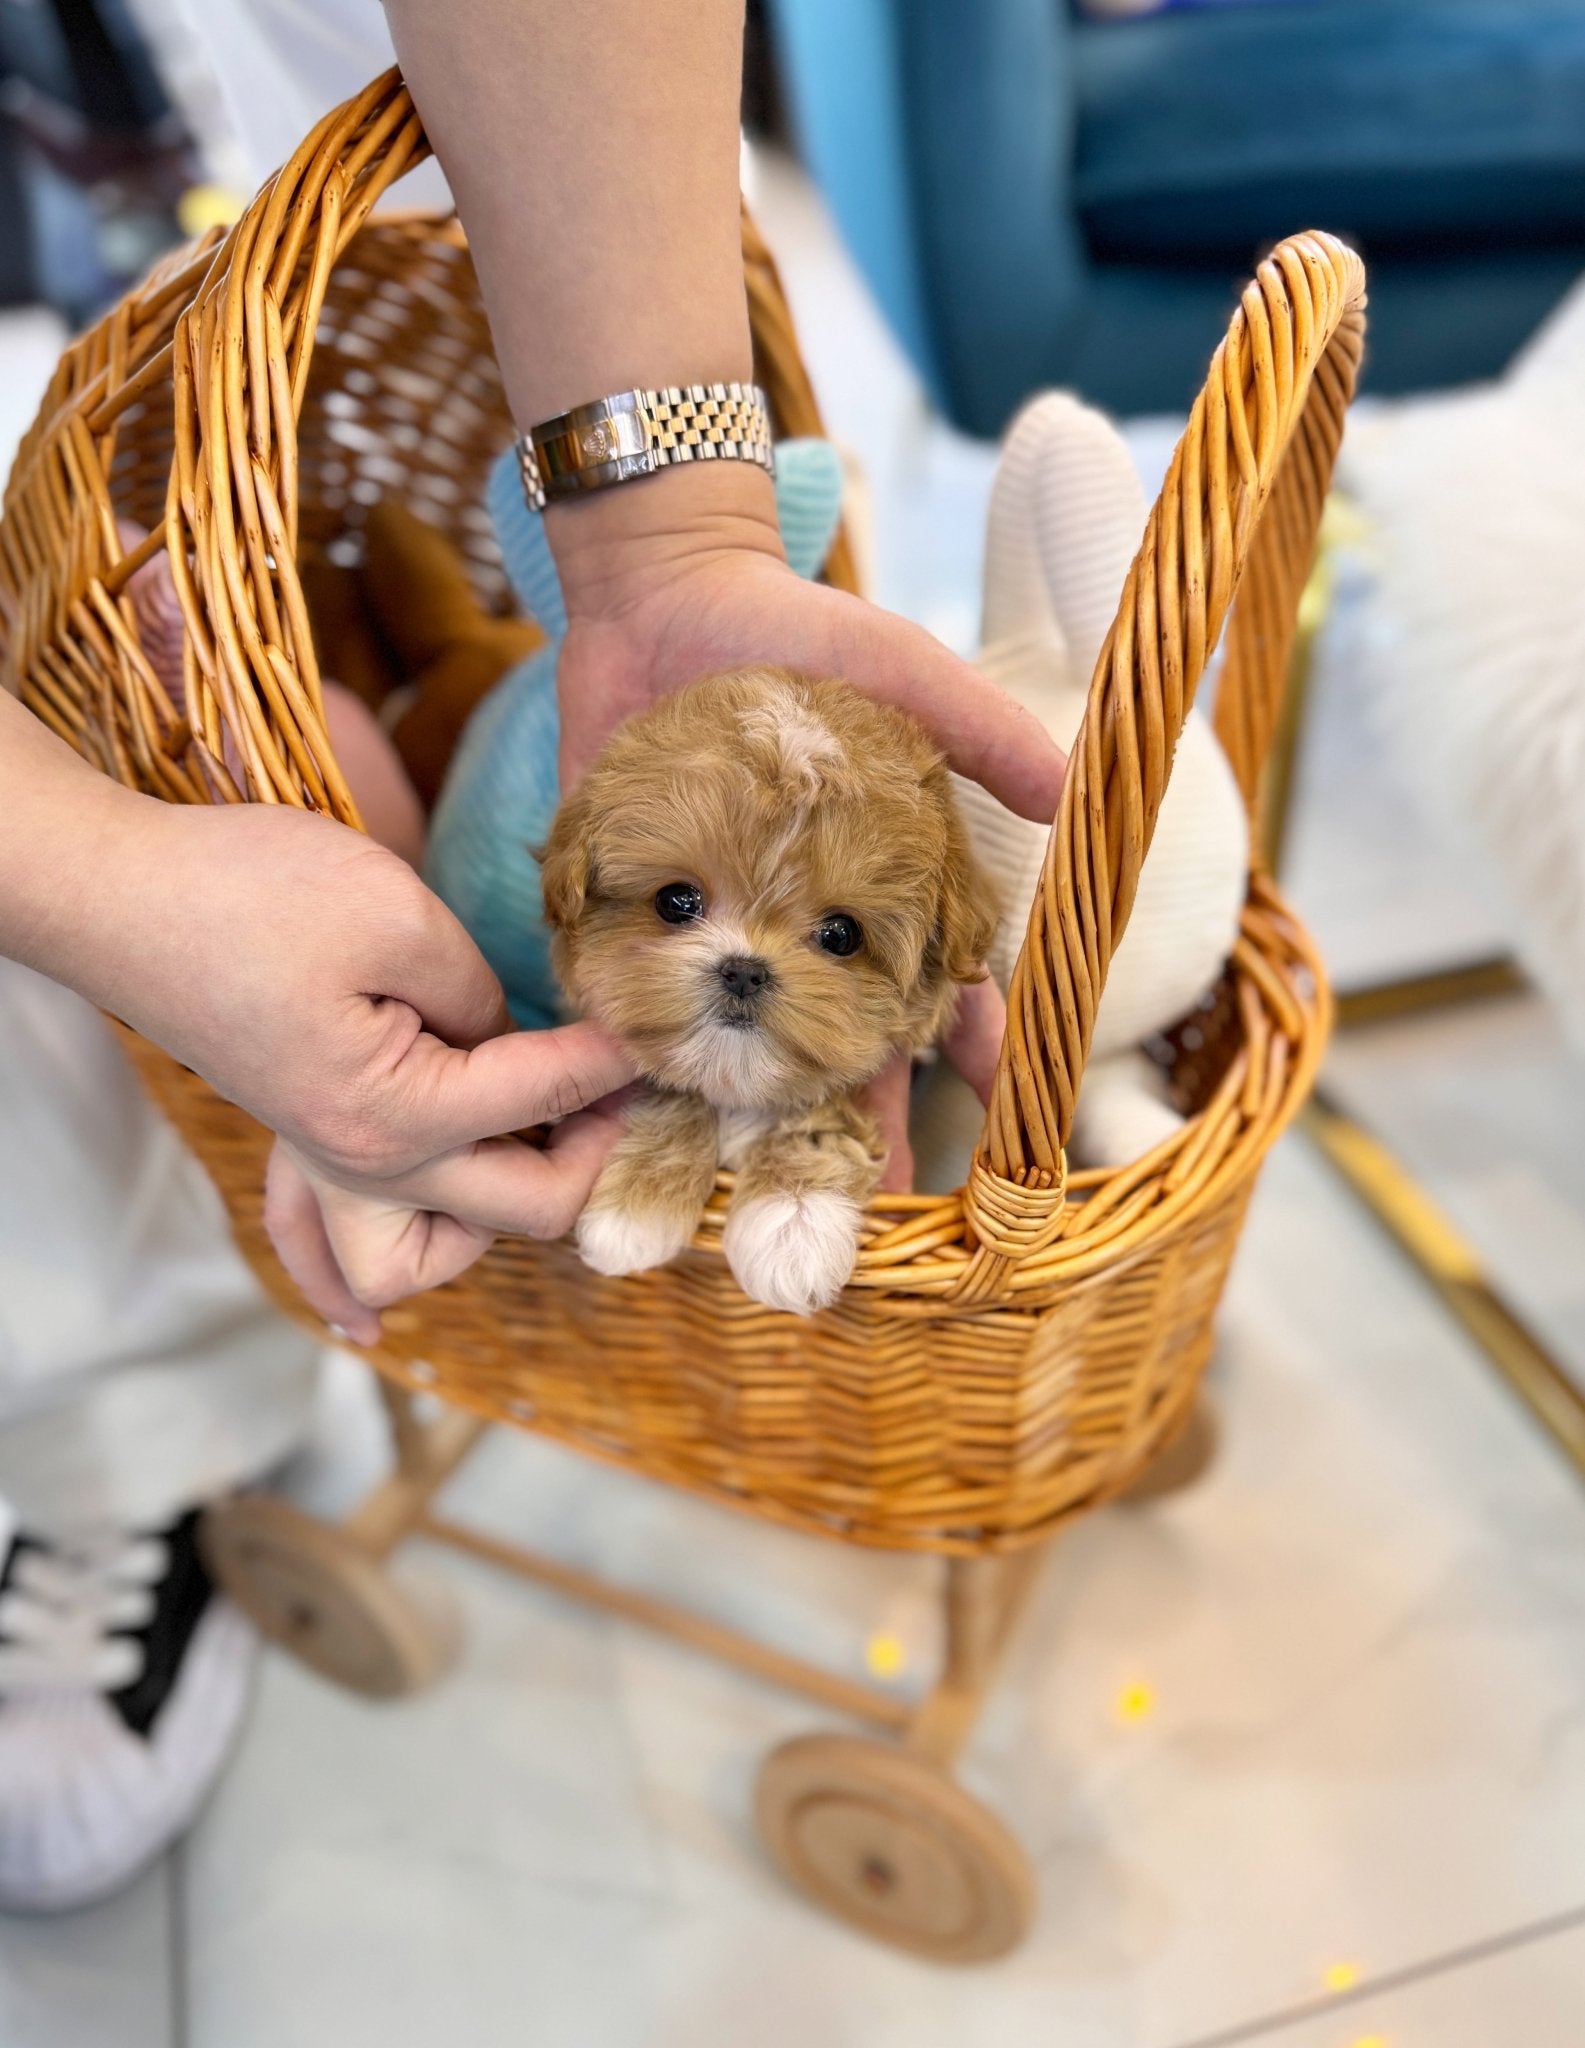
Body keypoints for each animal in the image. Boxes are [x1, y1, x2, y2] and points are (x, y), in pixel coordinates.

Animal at [540, 663, 999, 1318]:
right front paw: (637, 1205)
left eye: (841, 935)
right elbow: (671, 1088)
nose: (744, 970)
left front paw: (793, 1222)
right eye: (677, 901)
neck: (742, 1078)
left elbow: (823, 1113)